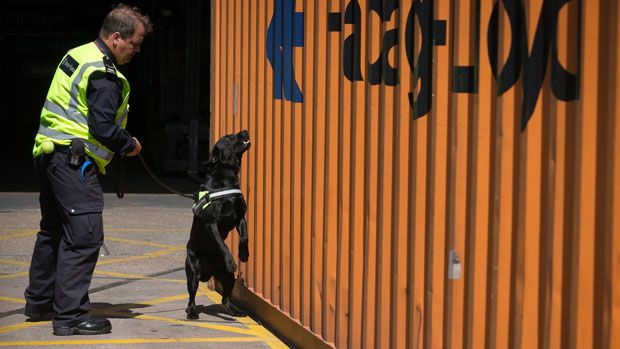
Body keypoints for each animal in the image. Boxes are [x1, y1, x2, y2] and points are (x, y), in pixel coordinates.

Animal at [185, 128, 251, 318]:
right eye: (228, 137)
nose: (245, 130)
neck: (226, 177)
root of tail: (209, 274)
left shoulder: (240, 217)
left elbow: (244, 237)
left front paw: (243, 254)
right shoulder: (211, 224)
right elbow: (223, 245)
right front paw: (230, 261)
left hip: (228, 278)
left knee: (225, 299)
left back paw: (235, 311)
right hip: (193, 271)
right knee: (191, 296)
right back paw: (192, 312)